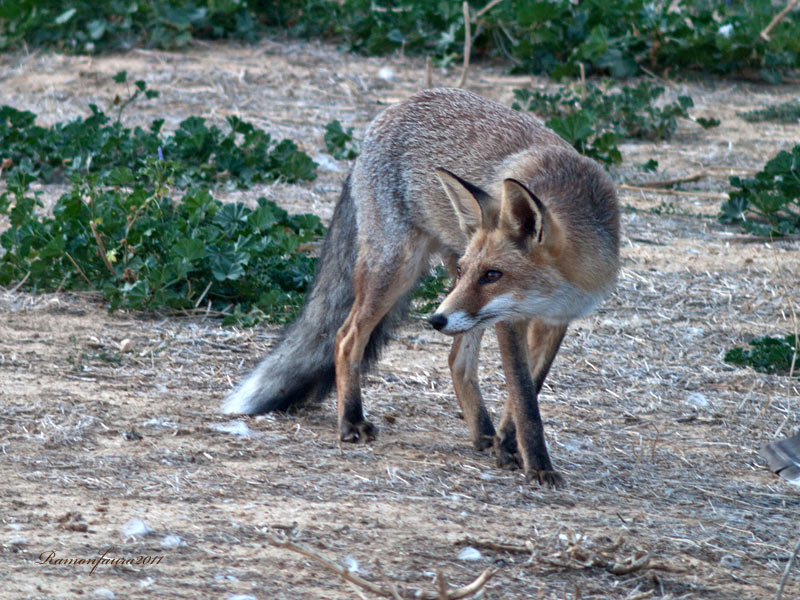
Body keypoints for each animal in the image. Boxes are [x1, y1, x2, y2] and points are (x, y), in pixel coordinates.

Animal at [222, 86, 620, 486]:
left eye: (492, 275)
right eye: (472, 270)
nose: (435, 321)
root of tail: (389, 114)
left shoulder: (556, 320)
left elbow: (529, 390)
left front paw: (508, 445)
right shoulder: (510, 321)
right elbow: (524, 398)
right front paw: (535, 462)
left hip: (456, 303)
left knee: (456, 360)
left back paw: (483, 433)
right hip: (399, 270)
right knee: (346, 337)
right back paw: (351, 420)